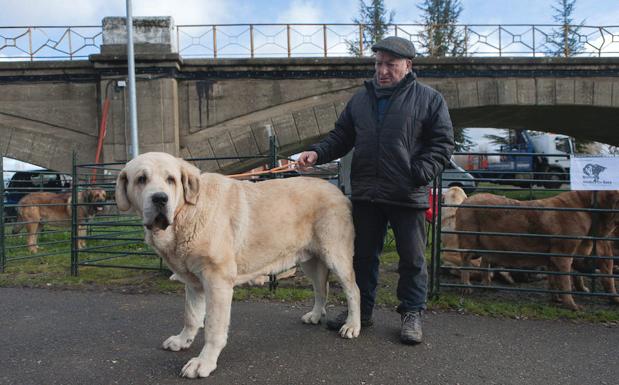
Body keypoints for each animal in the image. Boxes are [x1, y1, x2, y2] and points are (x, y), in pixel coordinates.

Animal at [115, 152, 364, 376]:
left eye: (171, 179)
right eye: (141, 179)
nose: (160, 198)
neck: (187, 210)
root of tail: (337, 190)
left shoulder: (217, 281)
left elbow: (213, 327)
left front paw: (204, 362)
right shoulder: (194, 282)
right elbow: (191, 316)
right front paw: (182, 340)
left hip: (336, 255)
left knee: (354, 290)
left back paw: (352, 325)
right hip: (310, 261)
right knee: (321, 289)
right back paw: (315, 315)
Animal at [456, 189, 619, 308]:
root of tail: (465, 201)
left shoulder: (553, 256)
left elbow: (554, 279)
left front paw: (556, 299)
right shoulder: (564, 253)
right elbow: (565, 280)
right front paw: (573, 306)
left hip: (488, 245)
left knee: (484, 262)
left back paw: (488, 286)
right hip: (469, 239)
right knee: (465, 262)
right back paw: (466, 288)